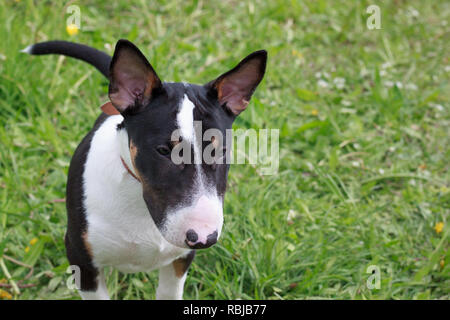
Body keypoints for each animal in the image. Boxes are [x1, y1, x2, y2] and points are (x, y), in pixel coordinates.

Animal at [22, 40, 266, 300]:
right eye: (163, 150)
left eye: (221, 151)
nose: (203, 238)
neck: (138, 203)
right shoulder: (81, 258)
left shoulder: (180, 260)